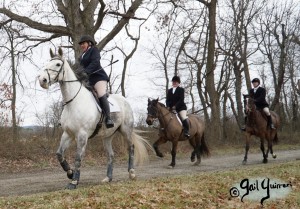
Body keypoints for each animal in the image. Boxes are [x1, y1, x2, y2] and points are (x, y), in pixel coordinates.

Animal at [37, 47, 150, 189]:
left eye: (57, 64)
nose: (42, 80)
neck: (73, 102)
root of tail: (124, 100)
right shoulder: (68, 134)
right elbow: (59, 154)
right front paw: (70, 173)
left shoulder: (82, 135)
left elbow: (78, 158)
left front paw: (74, 182)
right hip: (107, 136)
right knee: (111, 155)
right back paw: (108, 178)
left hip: (126, 130)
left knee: (131, 148)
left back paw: (132, 173)